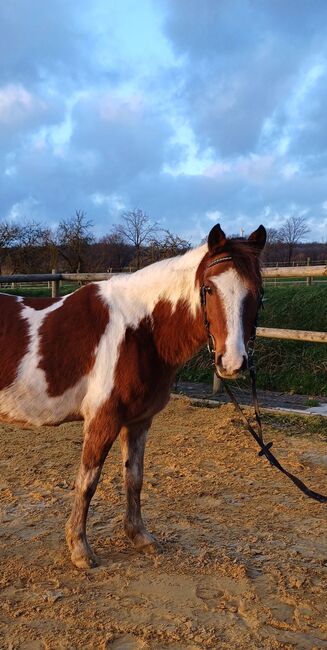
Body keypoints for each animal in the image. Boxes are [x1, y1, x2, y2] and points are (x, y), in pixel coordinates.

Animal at [0, 224, 266, 568]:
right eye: (208, 288)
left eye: (257, 293)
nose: (232, 363)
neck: (140, 329)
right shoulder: (103, 419)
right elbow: (87, 482)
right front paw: (80, 549)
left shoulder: (139, 420)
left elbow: (134, 478)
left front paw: (139, 536)